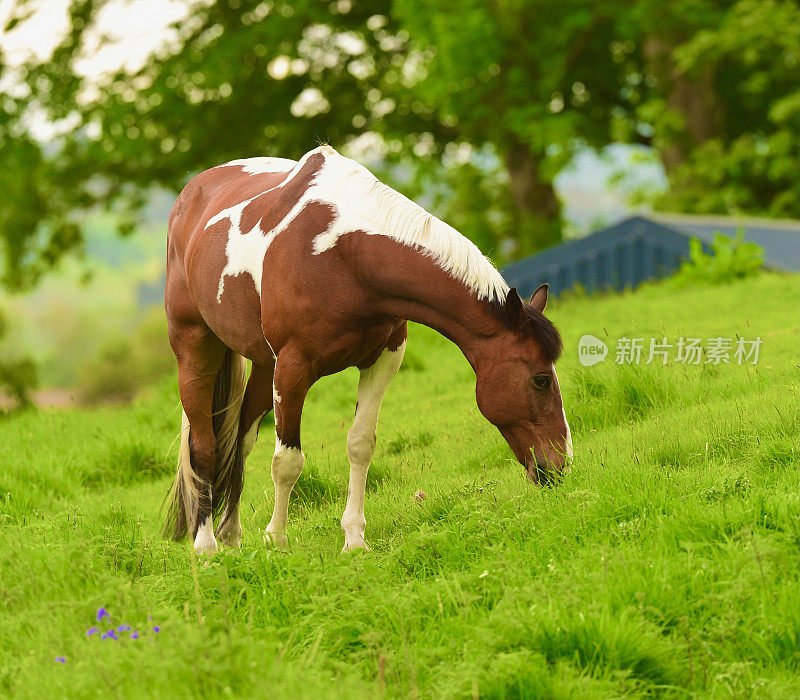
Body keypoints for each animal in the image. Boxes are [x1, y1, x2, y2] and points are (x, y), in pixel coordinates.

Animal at [164, 146, 568, 552]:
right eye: (541, 380)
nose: (559, 467)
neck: (346, 256)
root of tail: (189, 196)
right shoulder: (293, 368)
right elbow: (287, 462)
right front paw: (276, 540)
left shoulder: (383, 358)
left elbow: (360, 444)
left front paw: (354, 538)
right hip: (195, 353)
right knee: (205, 447)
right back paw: (206, 546)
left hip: (265, 366)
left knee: (241, 441)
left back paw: (230, 534)